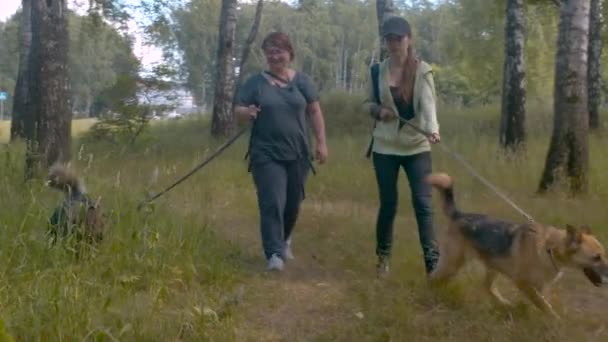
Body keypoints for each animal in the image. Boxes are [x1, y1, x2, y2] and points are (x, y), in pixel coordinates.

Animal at [426, 172, 608, 320]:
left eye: (604, 255)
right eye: (596, 257)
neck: (549, 249)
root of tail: (459, 215)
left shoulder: (538, 287)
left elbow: (541, 303)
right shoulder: (523, 283)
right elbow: (543, 305)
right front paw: (555, 320)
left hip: (491, 267)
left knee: (487, 287)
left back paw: (505, 305)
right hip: (452, 264)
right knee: (432, 278)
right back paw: (432, 297)